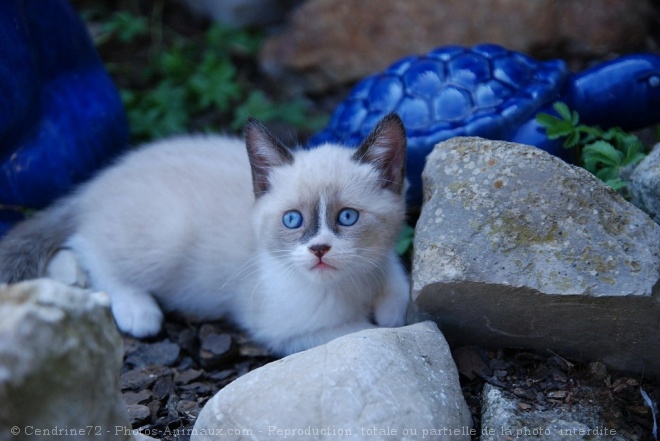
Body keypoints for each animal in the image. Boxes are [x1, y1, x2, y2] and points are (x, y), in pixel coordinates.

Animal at [0, 113, 410, 354]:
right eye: (293, 220)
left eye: (347, 217)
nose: (320, 250)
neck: (350, 285)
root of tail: (95, 182)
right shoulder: (286, 331)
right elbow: (359, 331)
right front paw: (378, 324)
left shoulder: (383, 261)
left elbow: (397, 287)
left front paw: (389, 308)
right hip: (167, 233)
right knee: (87, 243)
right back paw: (137, 310)